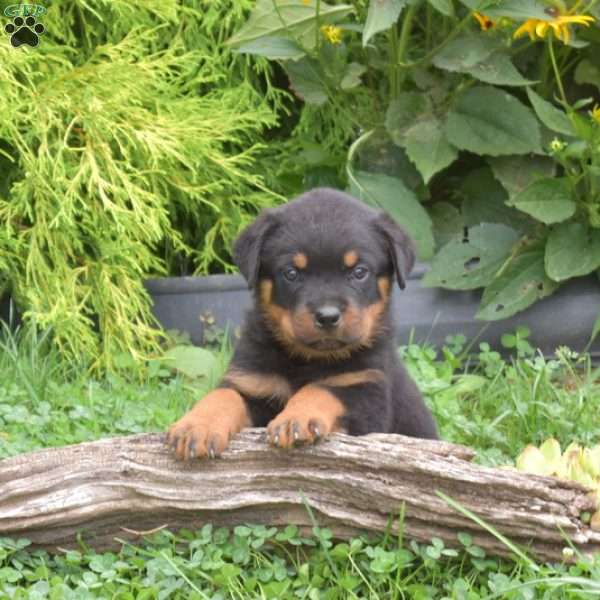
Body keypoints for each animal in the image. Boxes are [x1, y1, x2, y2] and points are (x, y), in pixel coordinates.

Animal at [166, 188, 438, 460]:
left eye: (360, 272)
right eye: (291, 273)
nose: (327, 316)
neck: (308, 360)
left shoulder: (367, 394)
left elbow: (322, 389)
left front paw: (295, 419)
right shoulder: (252, 382)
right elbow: (224, 394)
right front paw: (196, 426)